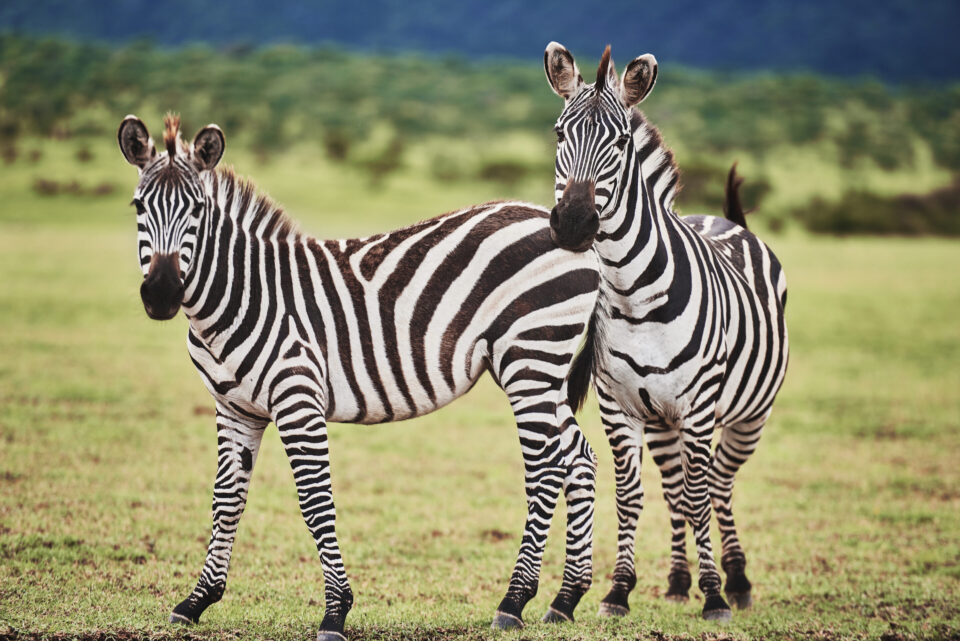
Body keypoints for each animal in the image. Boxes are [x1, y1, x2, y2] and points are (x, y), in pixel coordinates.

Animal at [117, 114, 601, 639]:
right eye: (138, 206)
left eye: (198, 209)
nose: (162, 294)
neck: (242, 294)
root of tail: (568, 232)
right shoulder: (234, 408)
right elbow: (227, 498)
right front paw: (197, 599)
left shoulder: (298, 399)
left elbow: (314, 500)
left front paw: (336, 610)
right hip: (543, 369)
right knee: (579, 456)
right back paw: (566, 599)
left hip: (529, 358)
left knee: (546, 465)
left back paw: (514, 600)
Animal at [542, 44, 789, 621]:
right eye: (560, 133)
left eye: (620, 142)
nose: (573, 224)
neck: (634, 296)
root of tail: (724, 219)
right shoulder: (620, 406)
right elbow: (632, 496)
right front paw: (618, 591)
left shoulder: (698, 408)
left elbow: (700, 496)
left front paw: (715, 595)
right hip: (662, 422)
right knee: (677, 489)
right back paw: (679, 580)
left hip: (748, 416)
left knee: (716, 484)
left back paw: (736, 580)